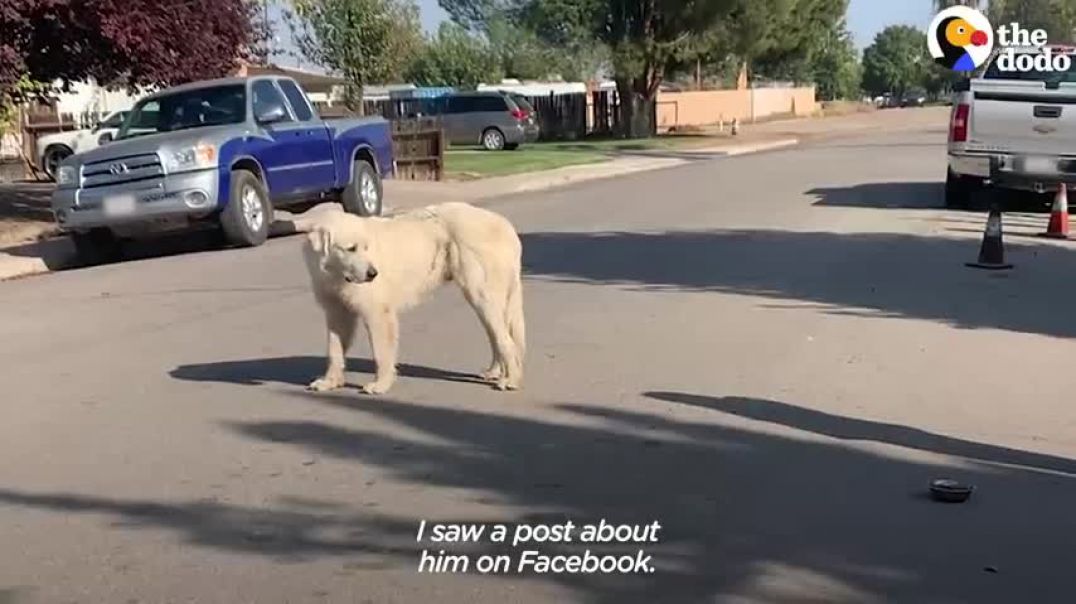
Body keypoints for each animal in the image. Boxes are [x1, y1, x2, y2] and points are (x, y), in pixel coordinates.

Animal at [296, 200, 527, 394]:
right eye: (351, 248)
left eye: (366, 247)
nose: (373, 274)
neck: (334, 272)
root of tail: (506, 226)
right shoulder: (336, 310)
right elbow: (334, 349)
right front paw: (329, 381)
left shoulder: (377, 311)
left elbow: (381, 351)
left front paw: (380, 384)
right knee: (496, 335)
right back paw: (494, 372)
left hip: (481, 291)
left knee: (505, 340)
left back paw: (512, 380)